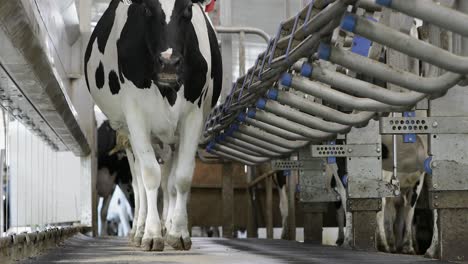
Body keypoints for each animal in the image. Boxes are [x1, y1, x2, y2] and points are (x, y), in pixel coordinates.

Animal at [84, 0, 223, 252]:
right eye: (147, 9)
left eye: (188, 9)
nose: (168, 63)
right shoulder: (136, 116)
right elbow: (149, 176)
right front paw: (150, 234)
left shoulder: (193, 116)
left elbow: (181, 178)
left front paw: (177, 232)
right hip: (129, 139)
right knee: (140, 184)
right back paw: (139, 230)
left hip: (169, 139)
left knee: (168, 183)